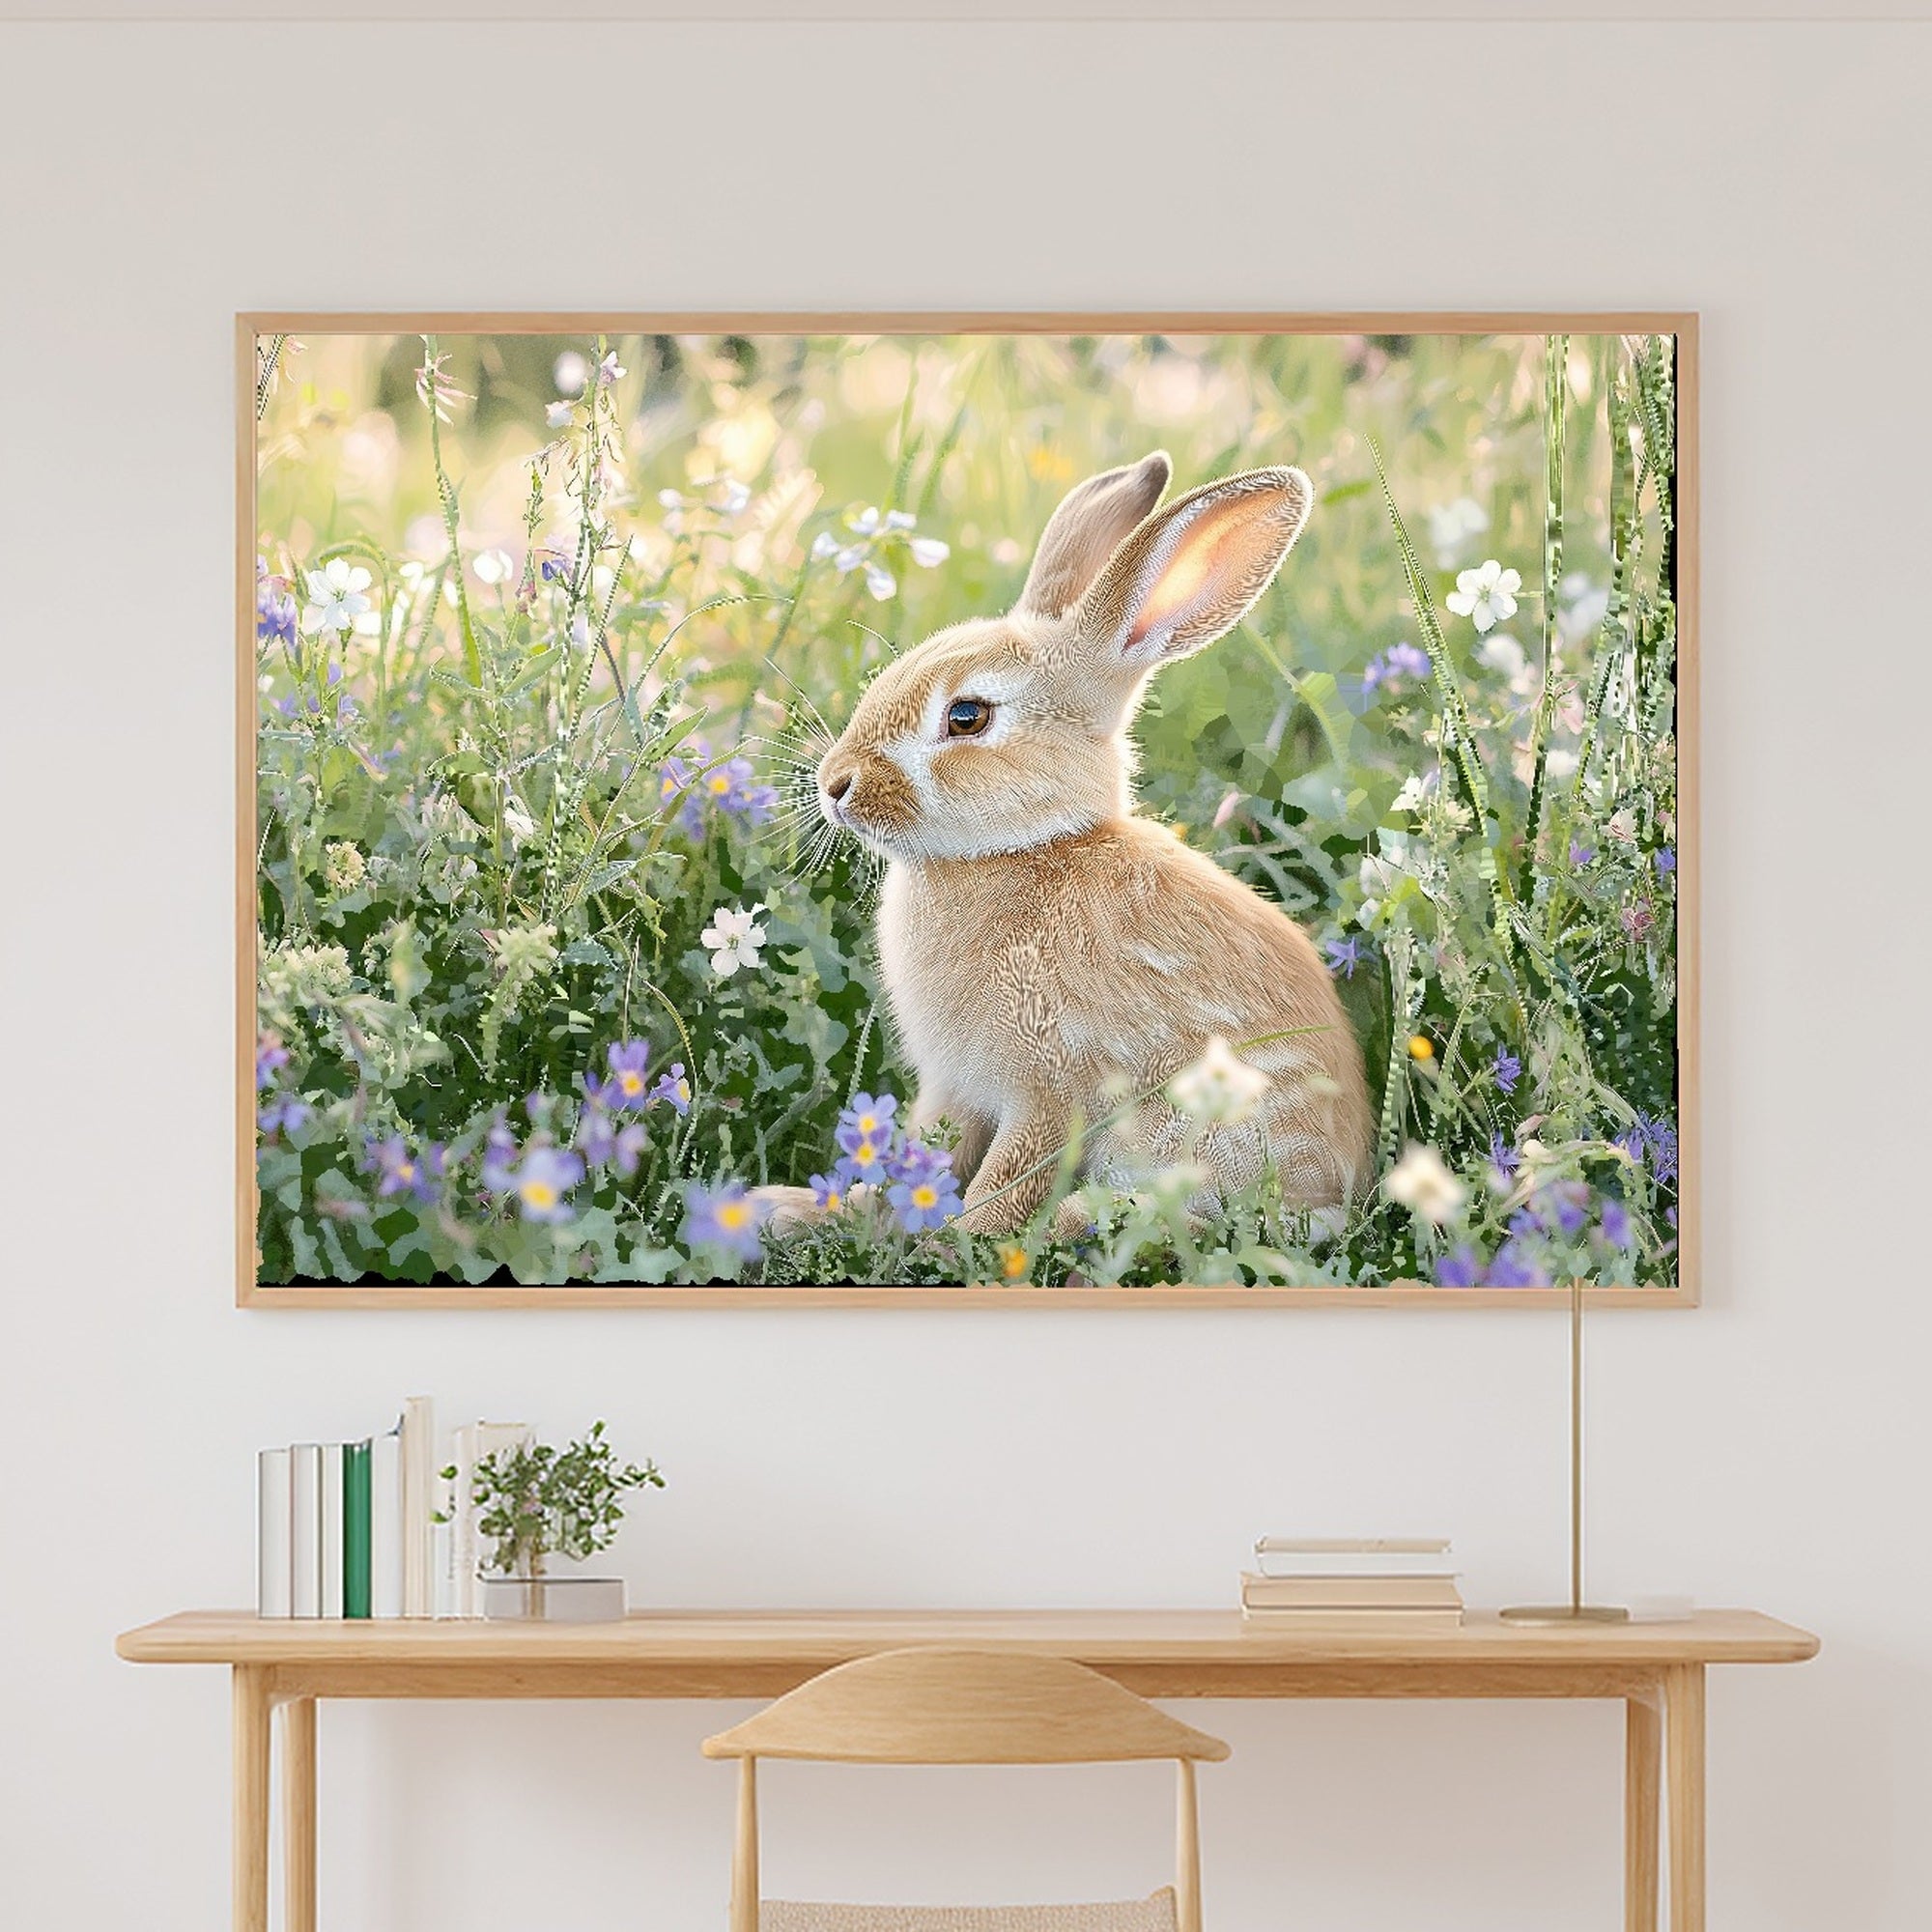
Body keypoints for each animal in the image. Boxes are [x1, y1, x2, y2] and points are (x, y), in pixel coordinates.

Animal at [785, 450, 1372, 1240]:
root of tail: (1340, 1192)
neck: (1022, 850)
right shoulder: (954, 1091)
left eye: (966, 716)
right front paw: (832, 1209)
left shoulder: (1050, 1088)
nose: (834, 785)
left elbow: (1002, 1187)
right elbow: (913, 1156)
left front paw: (961, 1245)